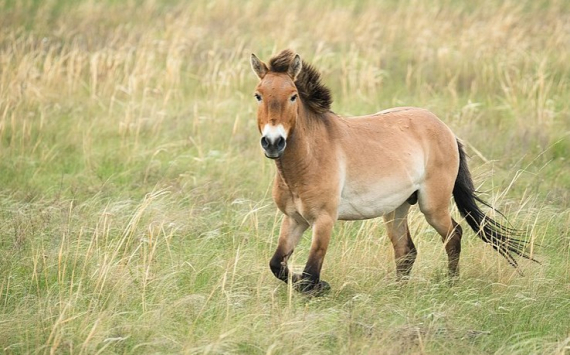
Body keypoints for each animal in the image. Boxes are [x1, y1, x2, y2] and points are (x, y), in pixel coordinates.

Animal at [248, 50, 532, 294]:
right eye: (258, 95)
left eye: (293, 95)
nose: (273, 142)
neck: (308, 158)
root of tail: (447, 130)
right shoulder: (294, 219)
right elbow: (277, 265)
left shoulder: (324, 220)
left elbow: (310, 274)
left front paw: (321, 287)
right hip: (397, 208)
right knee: (406, 251)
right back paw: (398, 292)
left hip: (433, 206)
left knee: (453, 235)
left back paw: (451, 284)